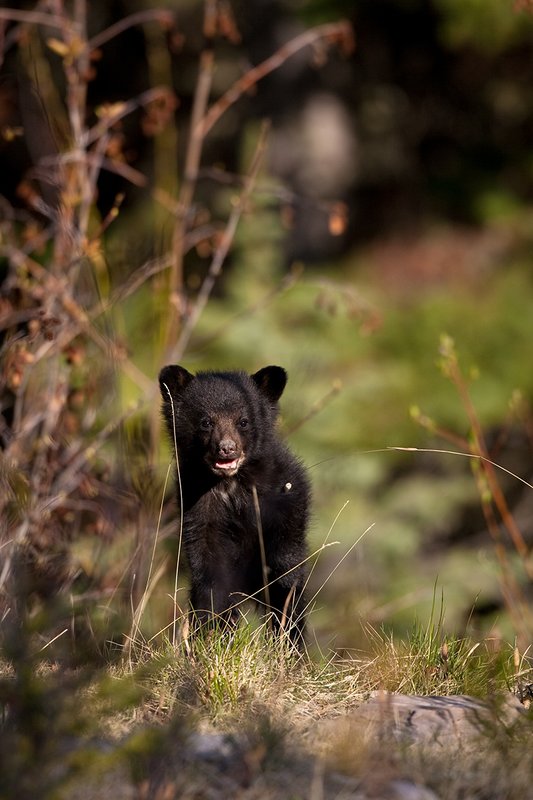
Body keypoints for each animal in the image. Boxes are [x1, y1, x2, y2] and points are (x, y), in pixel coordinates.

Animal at [158, 364, 310, 646]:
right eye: (206, 422)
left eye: (244, 421)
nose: (226, 449)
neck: (232, 487)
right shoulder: (199, 508)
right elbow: (210, 575)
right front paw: (214, 633)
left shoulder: (285, 505)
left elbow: (286, 577)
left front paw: (287, 640)